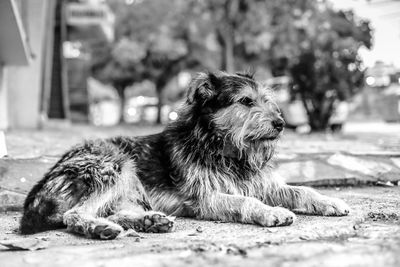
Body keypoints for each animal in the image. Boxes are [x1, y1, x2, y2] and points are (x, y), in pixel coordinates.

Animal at [19, 71, 350, 241]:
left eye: (268, 100)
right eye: (246, 101)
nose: (280, 124)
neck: (227, 150)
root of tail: (39, 187)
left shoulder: (264, 184)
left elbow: (301, 190)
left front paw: (330, 201)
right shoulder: (206, 197)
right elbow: (244, 201)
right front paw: (271, 212)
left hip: (129, 186)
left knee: (113, 210)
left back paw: (149, 221)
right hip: (113, 164)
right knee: (75, 214)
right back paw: (100, 228)